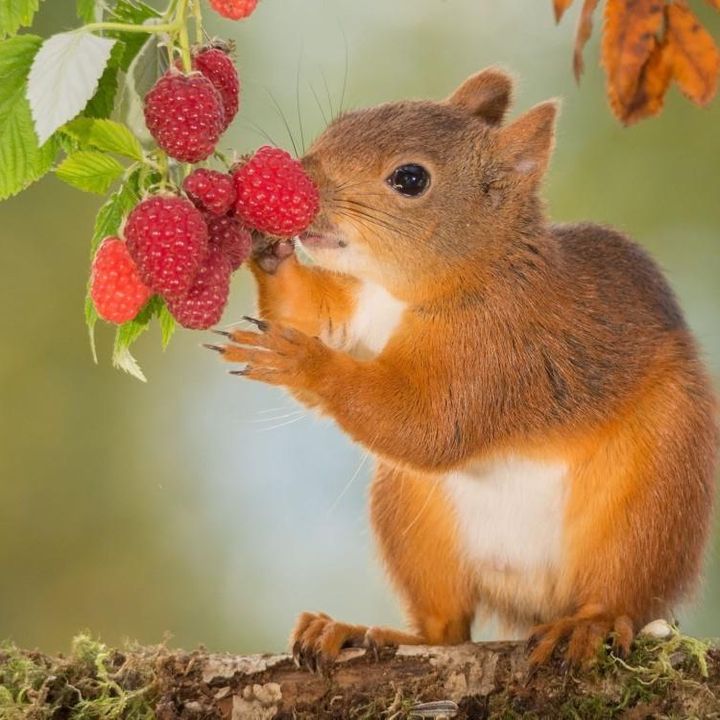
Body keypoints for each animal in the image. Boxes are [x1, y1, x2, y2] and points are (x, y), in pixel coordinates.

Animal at [208, 68, 718, 670]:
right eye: (342, 122)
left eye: (410, 179)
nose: (300, 184)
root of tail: (534, 602)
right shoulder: (358, 304)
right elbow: (311, 313)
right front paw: (265, 247)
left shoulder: (503, 352)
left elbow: (432, 426)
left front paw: (303, 361)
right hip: (413, 520)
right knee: (447, 629)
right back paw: (351, 630)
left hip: (650, 503)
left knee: (621, 591)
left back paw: (587, 624)